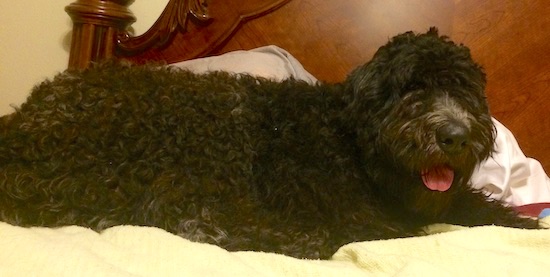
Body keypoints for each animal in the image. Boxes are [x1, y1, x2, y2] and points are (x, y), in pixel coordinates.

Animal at [0, 28, 544, 256]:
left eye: (465, 91)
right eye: (412, 87)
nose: (454, 135)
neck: (349, 143)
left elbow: (478, 208)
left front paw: (523, 223)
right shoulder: (360, 214)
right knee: (206, 223)